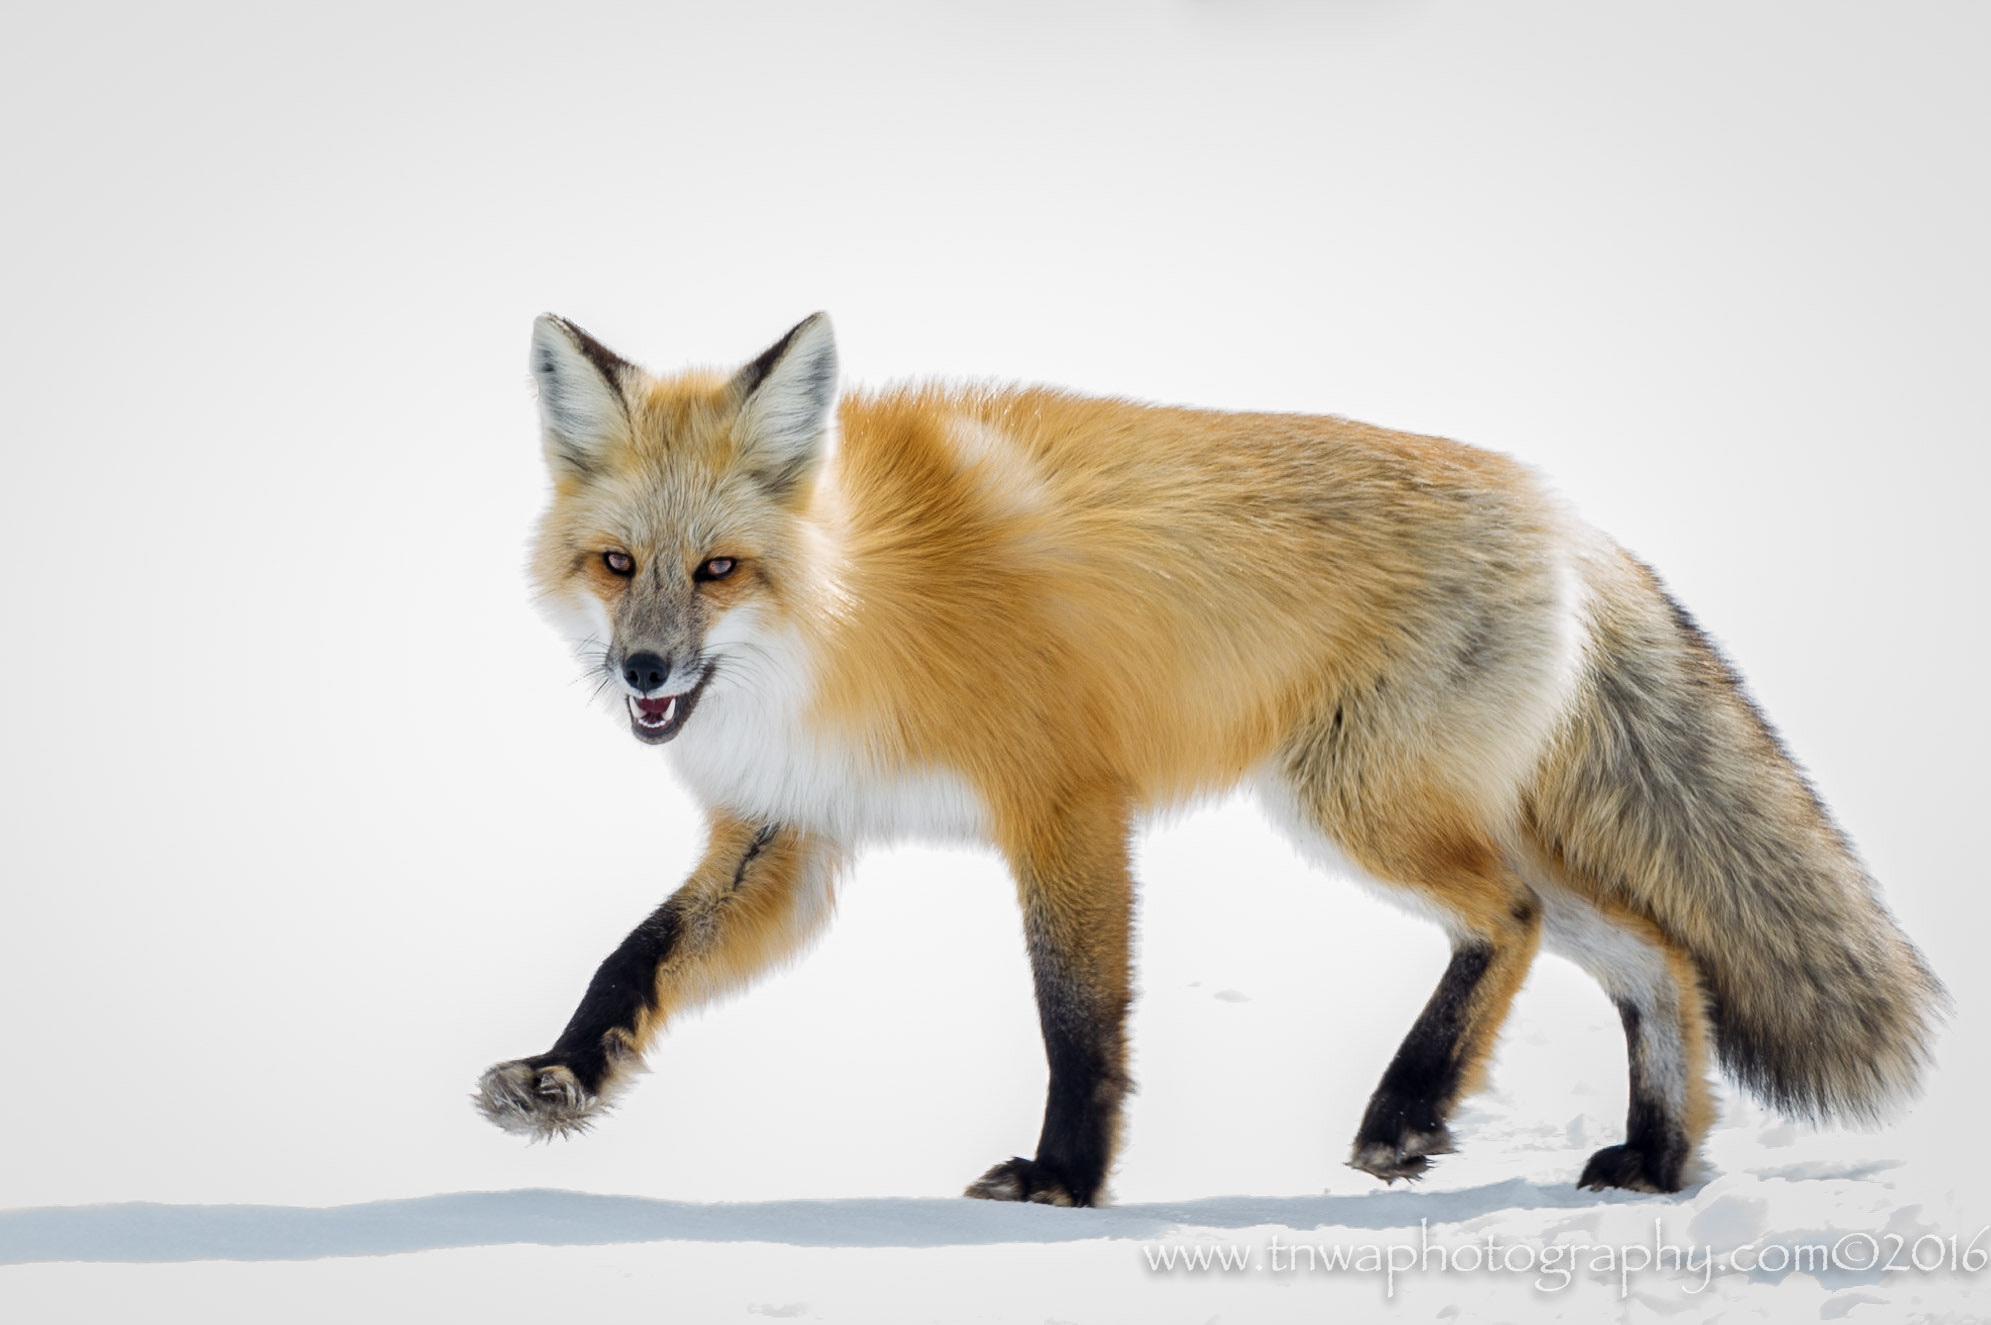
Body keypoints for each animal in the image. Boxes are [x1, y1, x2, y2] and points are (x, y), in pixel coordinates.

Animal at [475, 312, 1944, 1206]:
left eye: (719, 570)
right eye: (618, 566)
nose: (642, 673)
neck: (849, 615)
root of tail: (1563, 510)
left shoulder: (1065, 806)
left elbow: (1076, 1018)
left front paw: (1062, 1181)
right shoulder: (787, 827)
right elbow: (634, 958)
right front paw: (562, 1078)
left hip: (1354, 807)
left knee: (1515, 918)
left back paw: (1408, 1106)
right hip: (1430, 814)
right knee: (1662, 959)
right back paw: (1653, 1156)